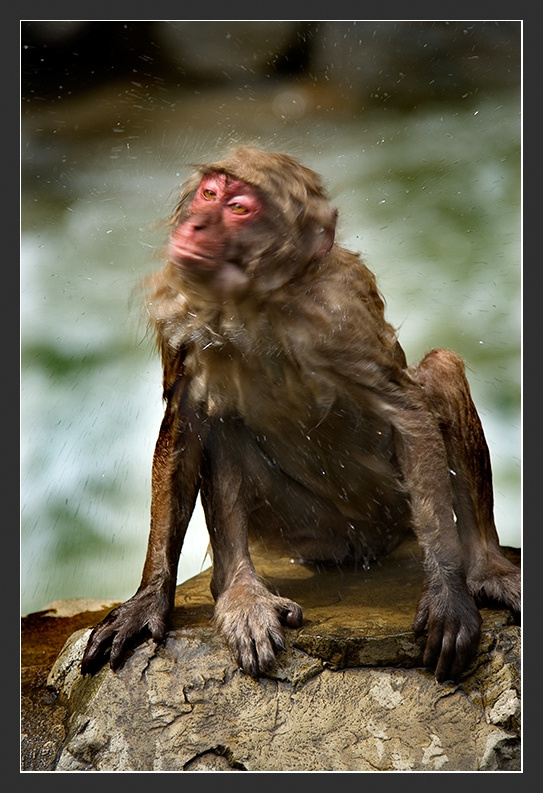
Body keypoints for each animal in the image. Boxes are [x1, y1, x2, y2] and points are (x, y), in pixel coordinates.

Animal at [81, 146, 520, 683]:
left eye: (239, 208)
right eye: (209, 194)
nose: (196, 226)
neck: (255, 304)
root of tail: (360, 551)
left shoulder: (340, 310)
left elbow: (407, 414)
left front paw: (448, 597)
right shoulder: (185, 313)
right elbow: (187, 419)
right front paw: (147, 600)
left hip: (390, 513)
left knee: (439, 371)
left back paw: (486, 568)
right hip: (304, 529)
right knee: (223, 423)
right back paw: (238, 590)